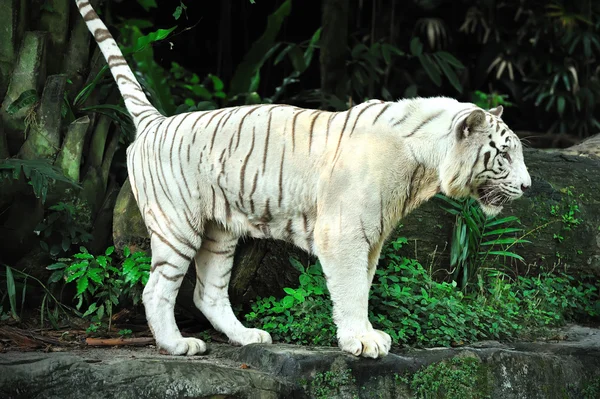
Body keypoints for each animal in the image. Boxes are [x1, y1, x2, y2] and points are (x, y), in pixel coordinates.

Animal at [75, 0, 528, 360]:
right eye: (504, 154)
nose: (527, 187)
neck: (424, 168)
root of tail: (155, 121)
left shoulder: (373, 236)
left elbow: (363, 286)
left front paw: (368, 334)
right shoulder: (345, 233)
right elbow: (350, 289)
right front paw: (361, 341)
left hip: (219, 232)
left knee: (209, 292)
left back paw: (248, 337)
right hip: (177, 224)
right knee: (156, 290)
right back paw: (178, 345)